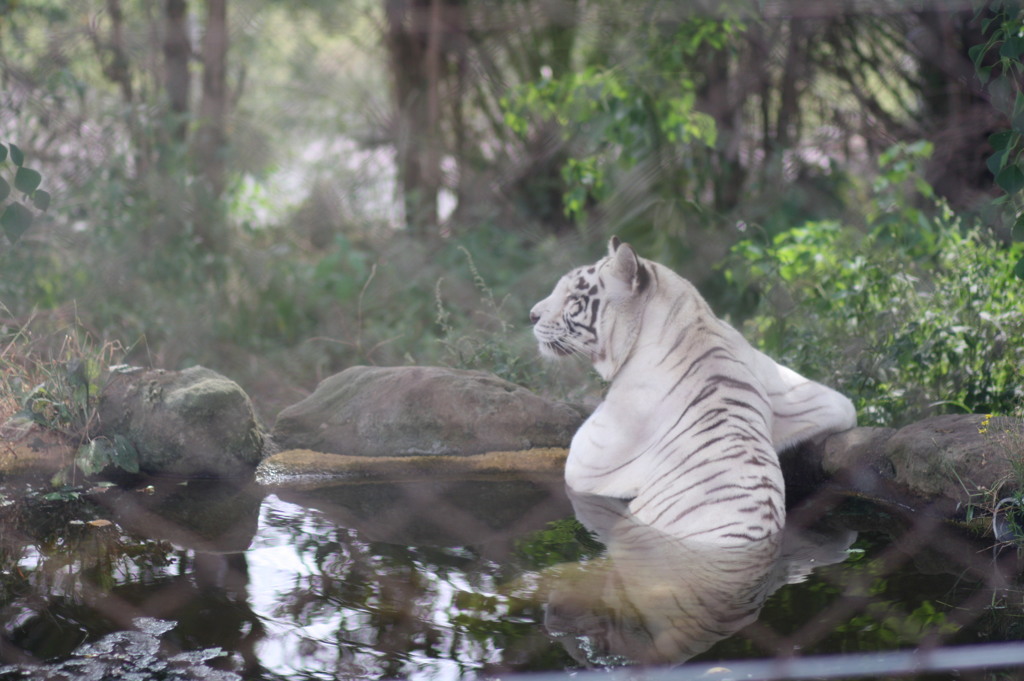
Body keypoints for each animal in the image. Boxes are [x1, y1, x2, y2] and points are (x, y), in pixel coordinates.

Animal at [528, 236, 856, 544]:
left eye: (573, 297)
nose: (531, 315)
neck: (692, 322)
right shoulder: (801, 389)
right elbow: (843, 406)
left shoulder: (588, 461)